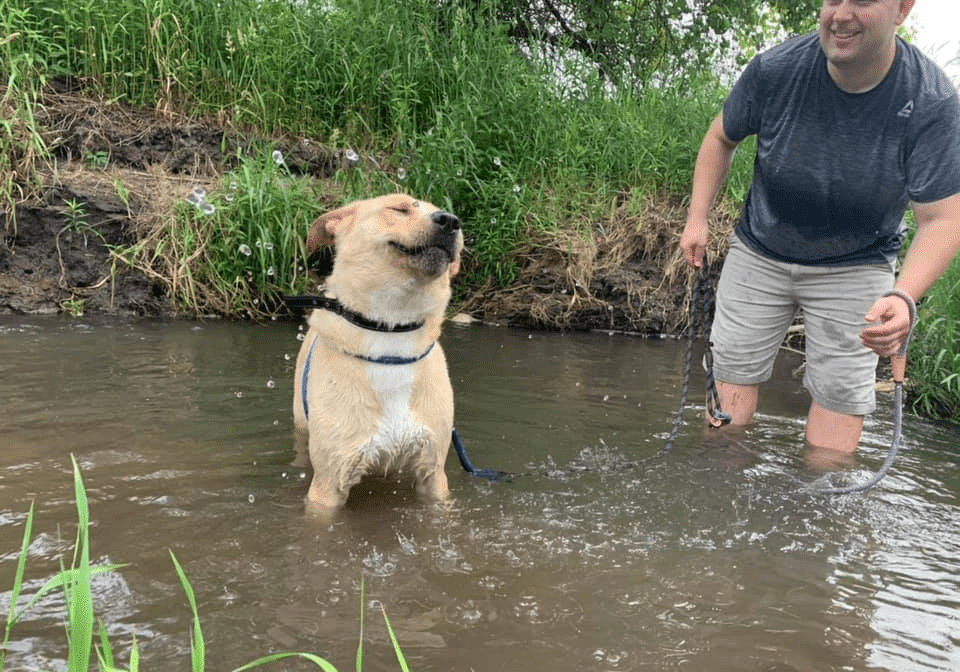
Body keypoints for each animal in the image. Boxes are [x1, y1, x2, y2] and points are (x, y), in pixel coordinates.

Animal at [292, 193, 464, 510]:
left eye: (447, 214)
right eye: (399, 208)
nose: (450, 221)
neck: (390, 334)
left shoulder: (433, 472)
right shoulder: (329, 483)